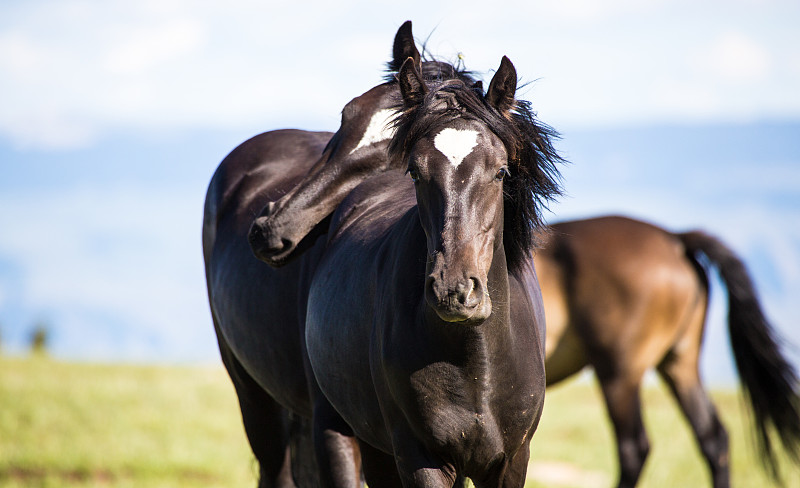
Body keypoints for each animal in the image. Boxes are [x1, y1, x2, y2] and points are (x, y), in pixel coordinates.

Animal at [300, 55, 564, 486]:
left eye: (501, 171)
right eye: (415, 171)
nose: (454, 291)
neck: (477, 365)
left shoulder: (512, 459)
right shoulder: (419, 456)